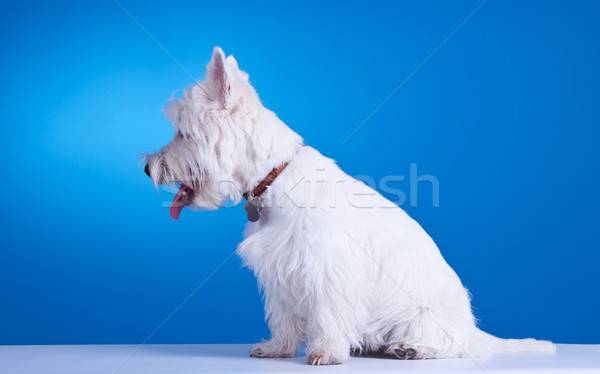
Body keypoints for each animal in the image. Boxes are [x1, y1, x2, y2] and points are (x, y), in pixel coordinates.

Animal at [143, 46, 556, 366]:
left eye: (182, 134)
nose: (146, 167)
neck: (273, 177)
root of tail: (472, 326)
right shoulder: (278, 272)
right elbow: (282, 315)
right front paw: (277, 348)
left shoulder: (328, 268)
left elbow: (327, 313)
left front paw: (325, 352)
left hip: (425, 315)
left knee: (459, 347)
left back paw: (410, 348)